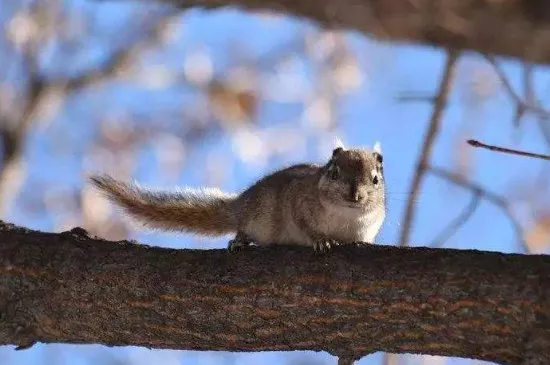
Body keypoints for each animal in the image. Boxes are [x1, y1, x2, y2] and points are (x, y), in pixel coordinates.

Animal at [88, 140, 386, 253]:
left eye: (375, 179)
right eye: (334, 173)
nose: (355, 195)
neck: (345, 216)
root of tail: (240, 205)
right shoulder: (298, 202)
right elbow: (306, 227)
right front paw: (321, 240)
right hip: (260, 218)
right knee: (245, 228)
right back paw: (239, 240)